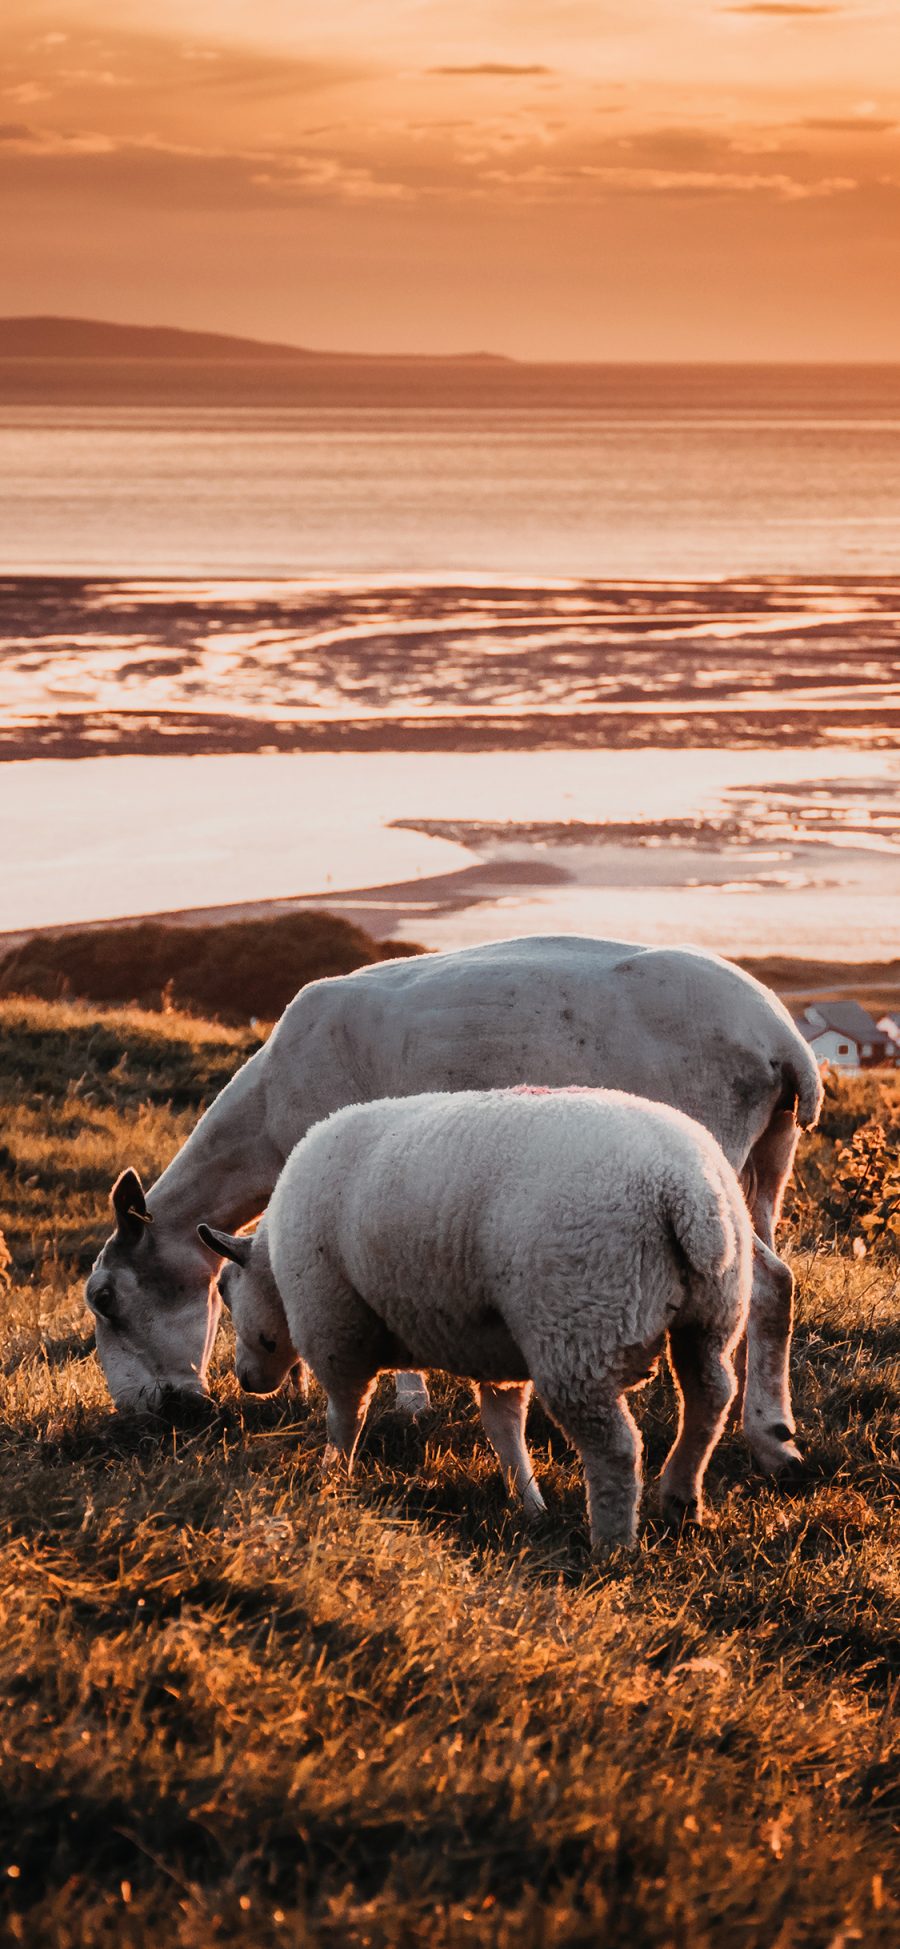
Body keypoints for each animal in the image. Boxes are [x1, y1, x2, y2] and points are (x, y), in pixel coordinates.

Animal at [86, 935, 814, 1465]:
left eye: (105, 1299)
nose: (147, 1413)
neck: (263, 1122)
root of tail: (784, 1044)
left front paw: (408, 1402)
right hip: (766, 1161)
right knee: (774, 1282)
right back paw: (767, 1428)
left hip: (710, 1158)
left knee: (765, 1282)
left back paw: (769, 1439)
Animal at [200, 1083, 763, 1551]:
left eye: (225, 1289)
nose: (244, 1381)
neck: (275, 1265)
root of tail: (685, 1189)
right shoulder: (496, 1348)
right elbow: (503, 1426)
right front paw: (528, 1502)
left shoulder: (334, 1326)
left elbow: (345, 1413)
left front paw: (332, 1477)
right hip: (713, 1313)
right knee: (710, 1397)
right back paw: (681, 1501)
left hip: (578, 1324)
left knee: (617, 1448)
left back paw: (612, 1545)